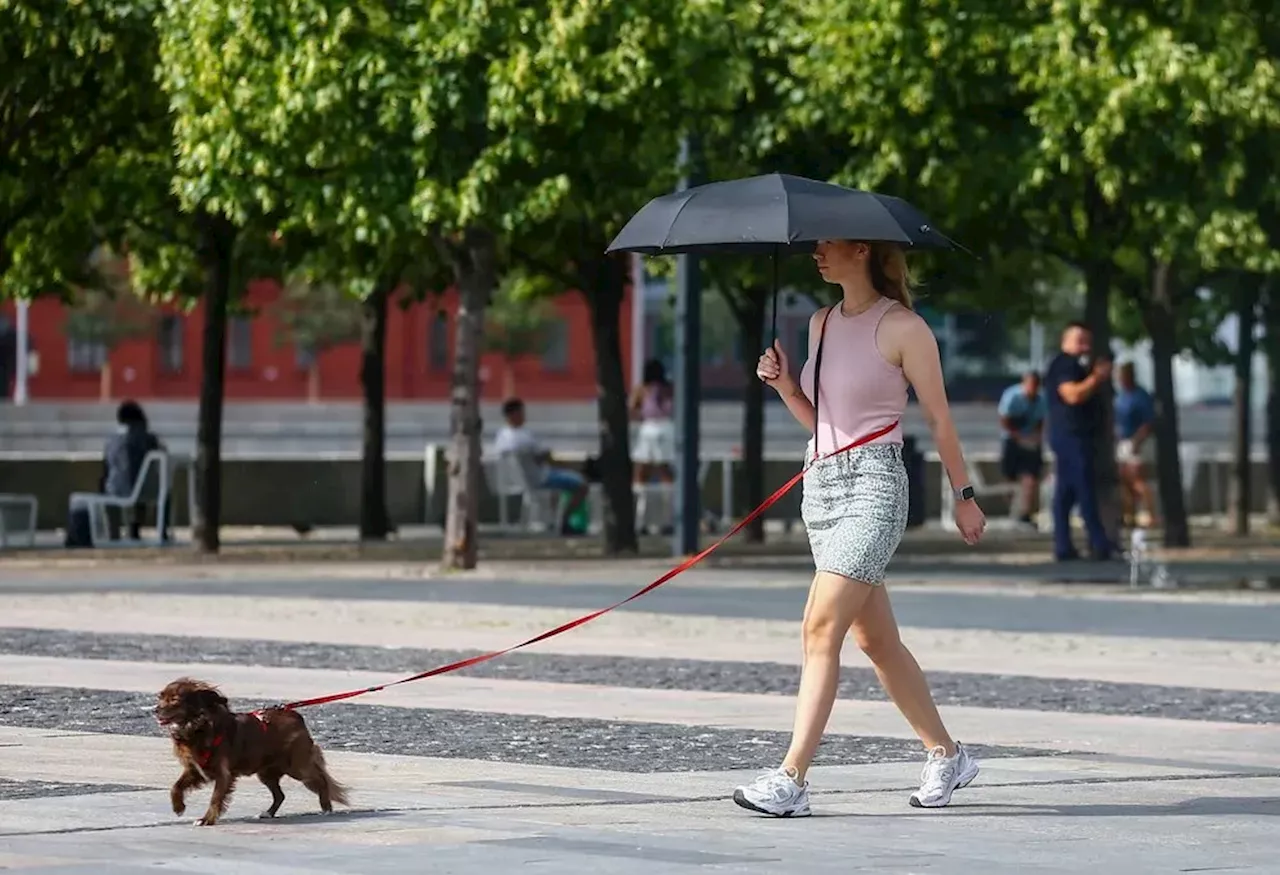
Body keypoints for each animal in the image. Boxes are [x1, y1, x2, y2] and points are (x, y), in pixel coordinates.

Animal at [154, 675, 350, 828]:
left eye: (174, 700)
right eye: (160, 697)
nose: (155, 710)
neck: (197, 727)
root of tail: (297, 716)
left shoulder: (223, 774)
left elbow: (215, 798)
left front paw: (206, 820)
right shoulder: (195, 769)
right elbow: (176, 787)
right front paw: (178, 807)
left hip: (297, 767)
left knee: (321, 780)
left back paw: (326, 808)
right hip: (266, 773)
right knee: (280, 795)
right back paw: (268, 813)